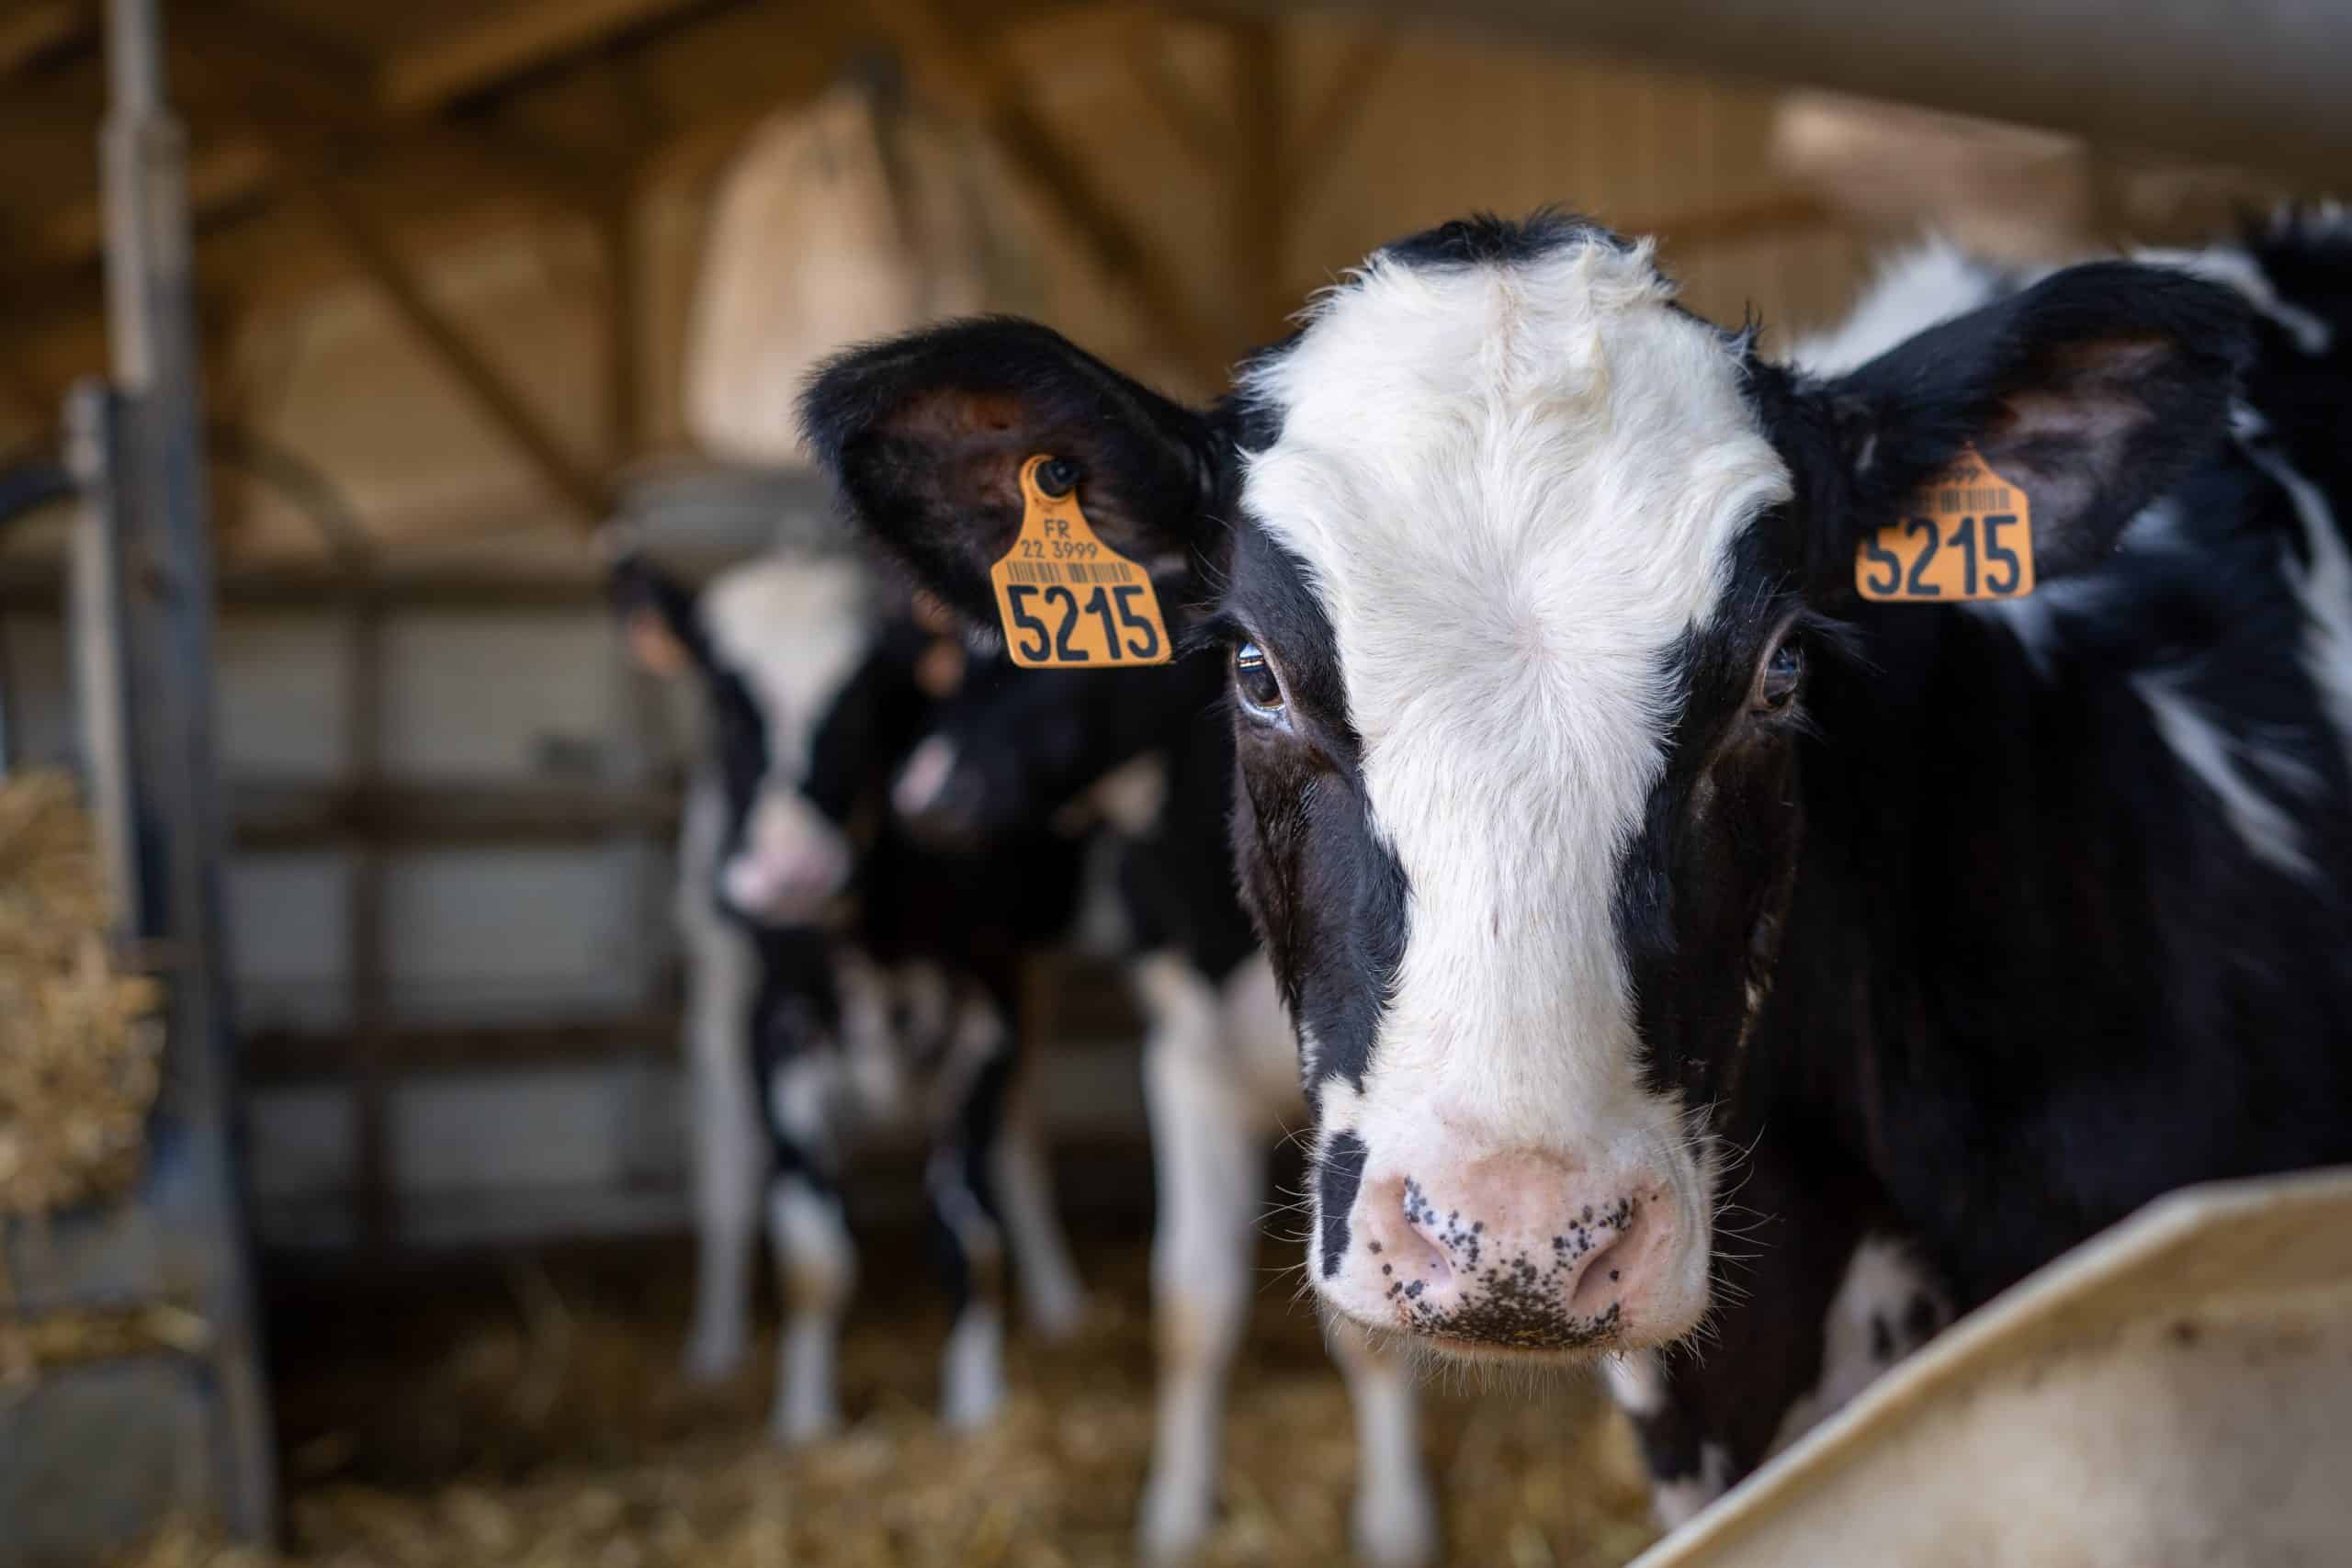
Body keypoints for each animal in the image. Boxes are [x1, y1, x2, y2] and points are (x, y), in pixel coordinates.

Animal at [606, 545, 1081, 1438]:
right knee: (726, 1168)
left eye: (867, 703)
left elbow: (968, 1230)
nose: (791, 871)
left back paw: (1058, 1297)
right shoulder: (775, 1022)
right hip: (716, 990)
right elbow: (810, 1251)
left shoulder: (993, 1007)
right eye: (725, 704)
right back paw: (714, 1344)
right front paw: (802, 1416)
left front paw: (976, 1405)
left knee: (1023, 1143)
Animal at [888, 658, 1439, 1561]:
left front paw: (1395, 1523)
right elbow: (1190, 1299)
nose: (923, 795)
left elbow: (1366, 1317)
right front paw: (1174, 1515)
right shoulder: (1183, 1060)